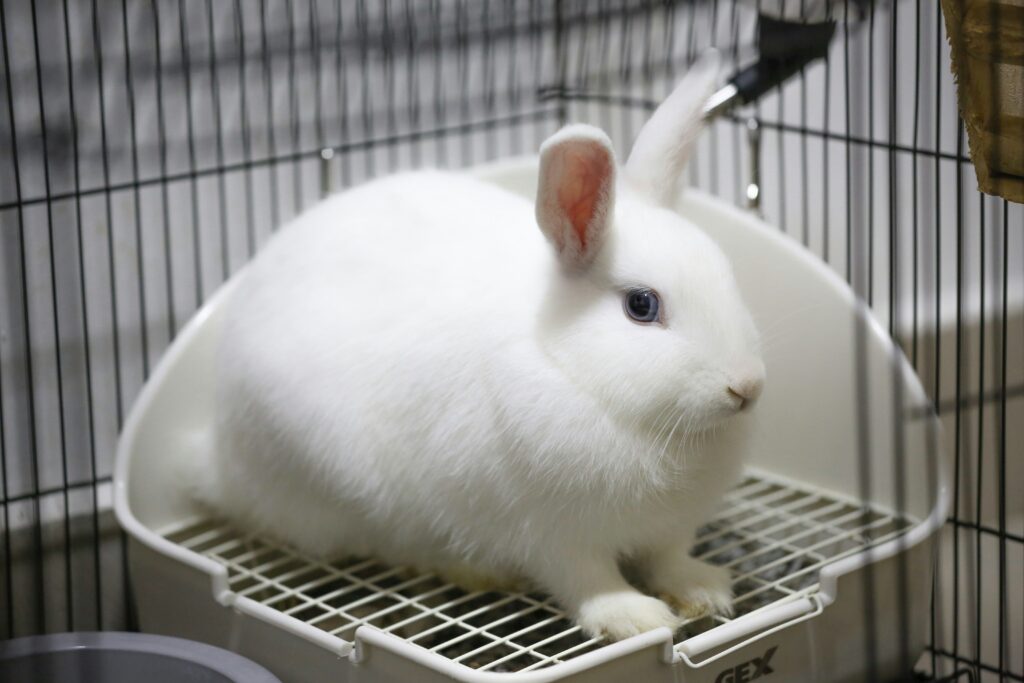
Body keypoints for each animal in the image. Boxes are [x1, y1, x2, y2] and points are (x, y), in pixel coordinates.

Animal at [197, 57, 761, 643]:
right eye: (642, 305)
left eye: (726, 275)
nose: (746, 387)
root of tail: (217, 463)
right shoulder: (549, 533)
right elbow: (588, 581)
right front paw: (632, 617)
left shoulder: (670, 527)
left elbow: (668, 560)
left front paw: (704, 591)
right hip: (333, 484)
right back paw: (470, 570)